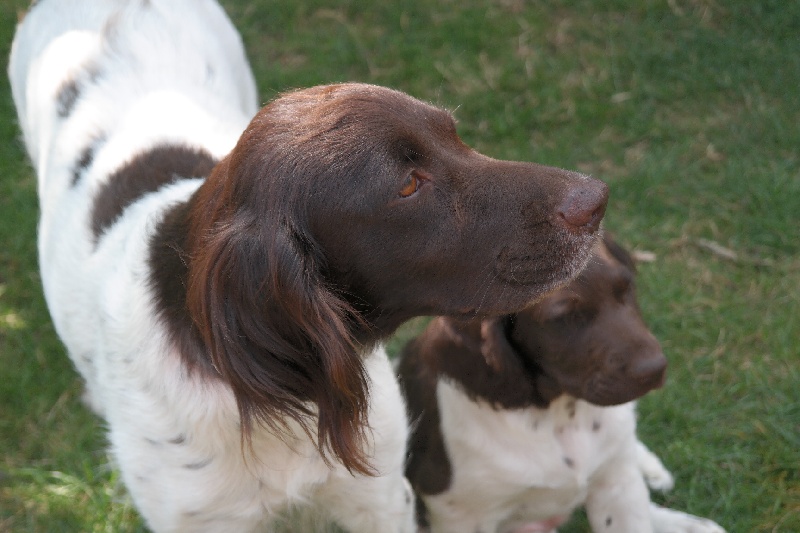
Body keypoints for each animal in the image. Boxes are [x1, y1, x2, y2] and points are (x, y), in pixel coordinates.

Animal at [400, 236, 724, 532]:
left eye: (626, 288)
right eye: (564, 317)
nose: (654, 369)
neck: (560, 414)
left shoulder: (616, 487)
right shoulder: (463, 514)